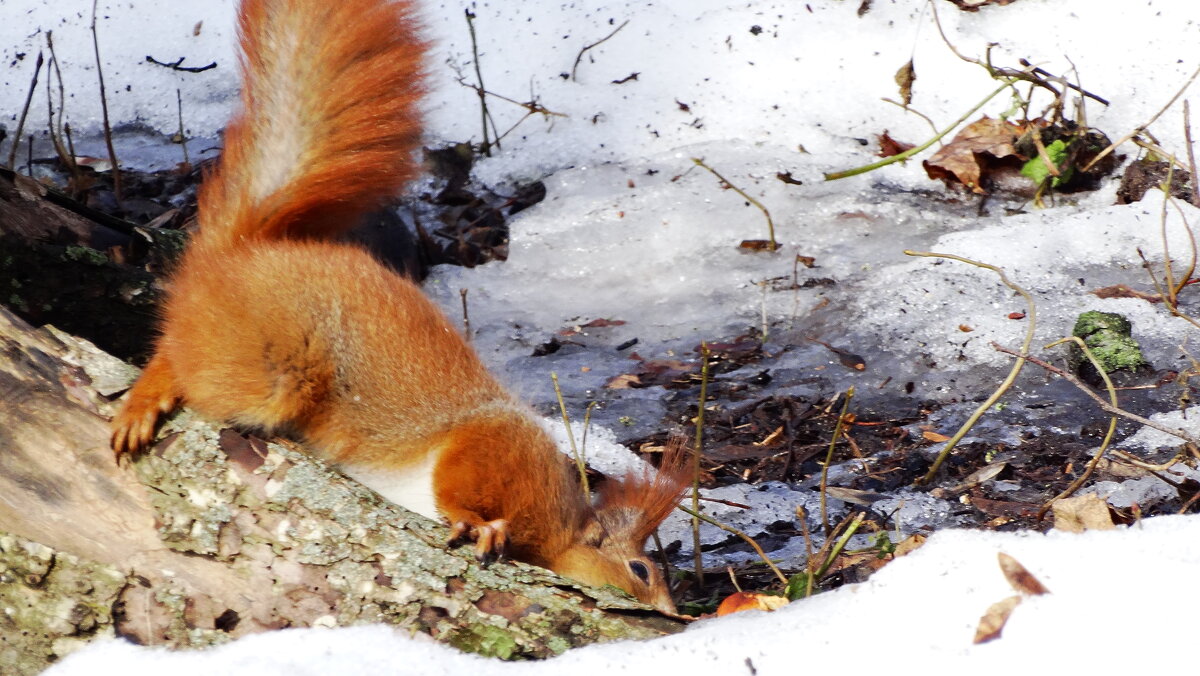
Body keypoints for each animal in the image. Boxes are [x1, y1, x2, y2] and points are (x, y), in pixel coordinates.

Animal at [111, 0, 686, 614]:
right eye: (640, 570)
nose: (673, 615)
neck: (561, 532)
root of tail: (241, 252)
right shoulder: (495, 447)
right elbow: (458, 486)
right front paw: (475, 522)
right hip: (273, 364)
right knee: (183, 354)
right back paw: (146, 396)